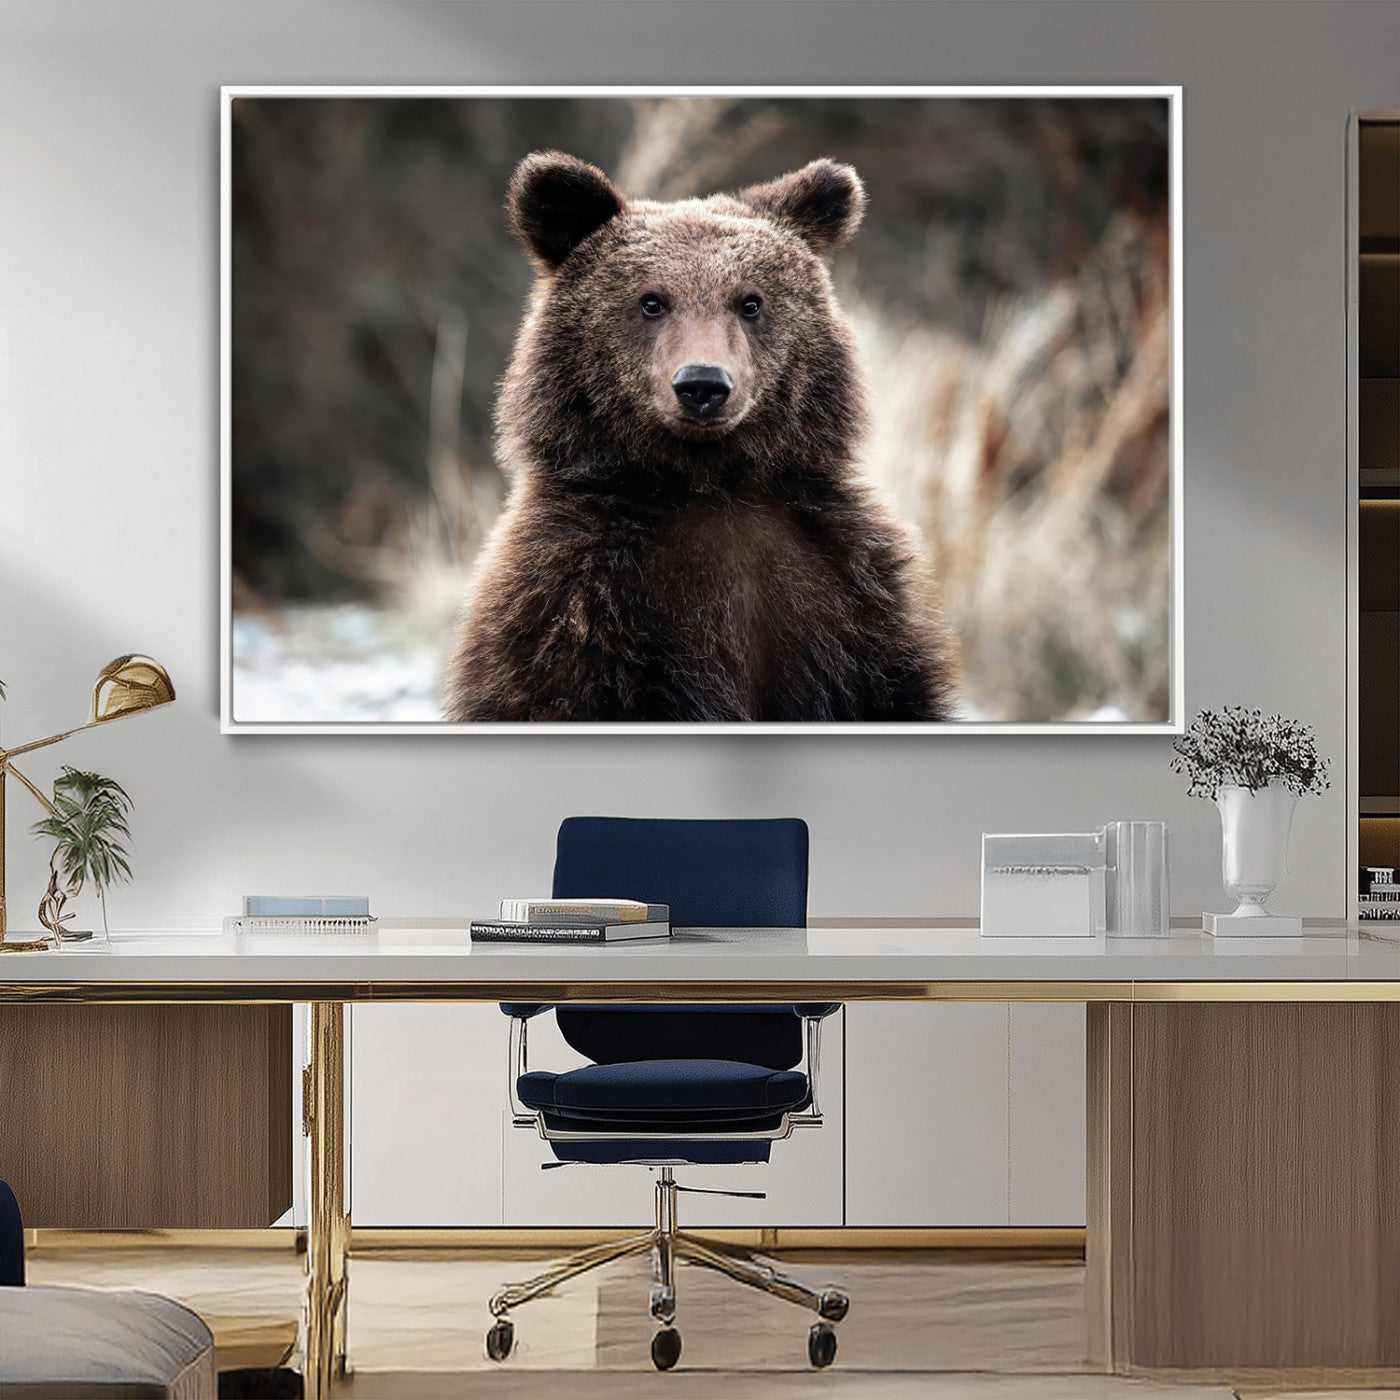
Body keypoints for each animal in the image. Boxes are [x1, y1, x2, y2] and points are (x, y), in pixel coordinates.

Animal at [442, 150, 958, 722]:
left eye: (750, 302)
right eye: (651, 301)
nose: (703, 384)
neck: (710, 482)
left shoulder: (848, 598)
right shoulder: (576, 604)